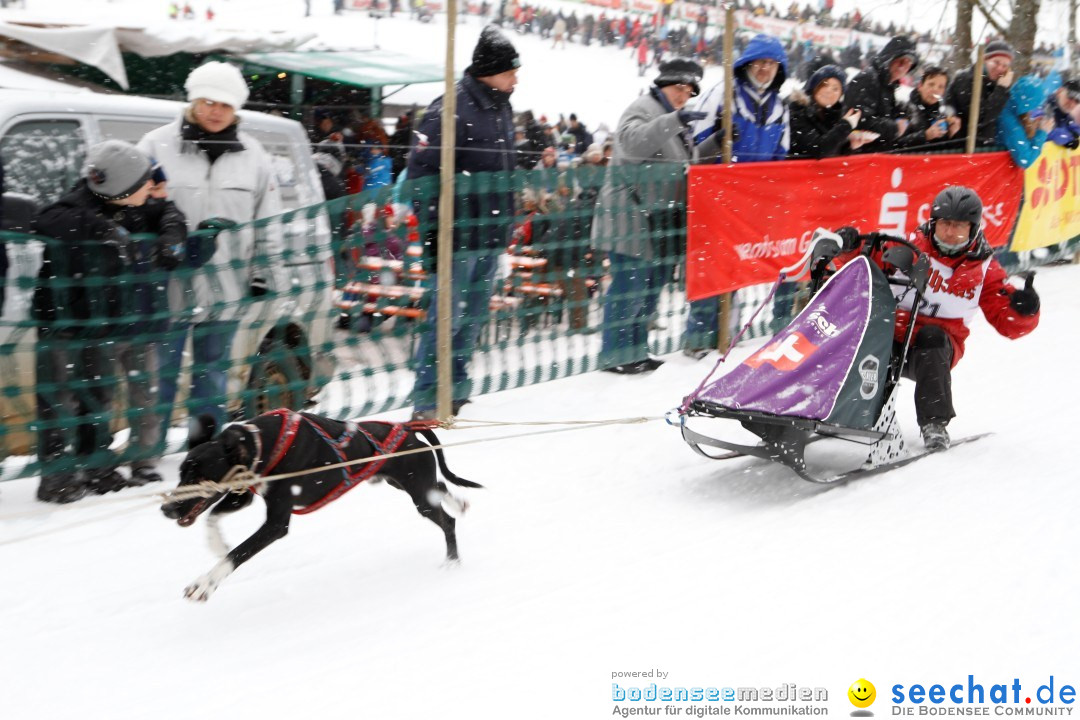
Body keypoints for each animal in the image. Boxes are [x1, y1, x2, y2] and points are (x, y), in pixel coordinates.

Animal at [159, 410, 481, 604]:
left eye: (199, 476)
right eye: (182, 473)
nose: (166, 510)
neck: (262, 443)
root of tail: (408, 429)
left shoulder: (276, 523)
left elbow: (236, 554)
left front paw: (204, 584)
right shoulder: (244, 494)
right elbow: (213, 518)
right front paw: (216, 543)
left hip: (418, 495)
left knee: (447, 520)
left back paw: (452, 562)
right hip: (402, 484)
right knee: (440, 487)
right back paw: (460, 502)